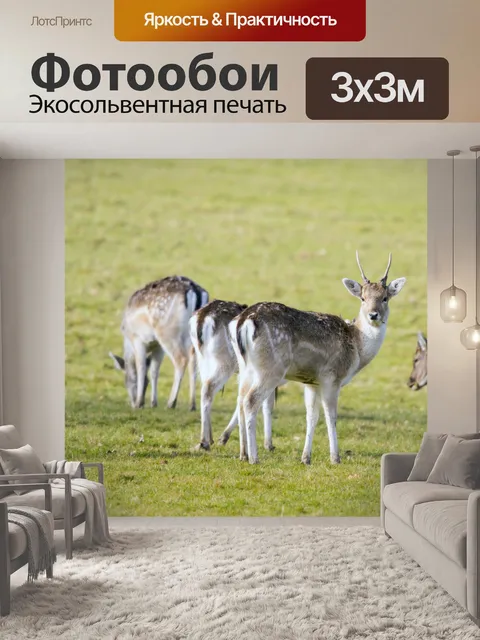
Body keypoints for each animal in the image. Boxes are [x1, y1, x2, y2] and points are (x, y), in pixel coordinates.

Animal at [110, 275, 209, 410]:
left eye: (126, 381)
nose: (133, 403)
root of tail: (195, 291)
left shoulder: (138, 339)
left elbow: (141, 367)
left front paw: (139, 402)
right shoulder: (158, 347)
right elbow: (154, 371)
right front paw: (153, 403)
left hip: (167, 332)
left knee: (181, 359)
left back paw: (171, 403)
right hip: (193, 336)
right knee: (193, 360)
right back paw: (192, 405)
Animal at [189, 299, 277, 452]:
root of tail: (202, 318)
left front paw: (223, 438)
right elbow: (266, 405)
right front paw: (269, 445)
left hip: (202, 358)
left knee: (205, 387)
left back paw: (209, 437)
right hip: (224, 362)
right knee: (209, 388)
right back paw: (204, 442)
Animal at [229, 252, 406, 465]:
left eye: (385, 298)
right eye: (363, 298)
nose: (373, 314)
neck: (356, 348)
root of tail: (243, 321)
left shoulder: (312, 382)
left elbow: (311, 416)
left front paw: (306, 458)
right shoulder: (332, 377)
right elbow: (331, 416)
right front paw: (335, 457)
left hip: (245, 367)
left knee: (239, 399)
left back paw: (243, 454)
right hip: (270, 368)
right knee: (250, 401)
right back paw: (254, 458)